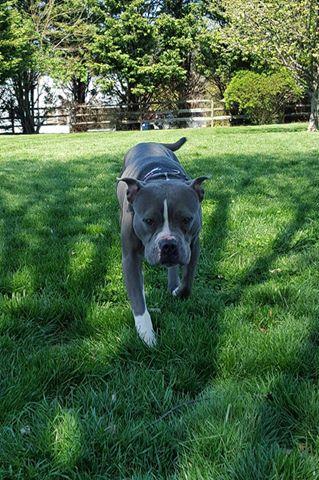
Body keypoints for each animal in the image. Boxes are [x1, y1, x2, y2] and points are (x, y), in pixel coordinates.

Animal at [118, 137, 210, 346]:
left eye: (187, 219)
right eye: (148, 220)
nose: (168, 245)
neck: (162, 178)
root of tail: (148, 141)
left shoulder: (193, 245)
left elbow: (188, 282)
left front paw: (177, 291)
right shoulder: (129, 257)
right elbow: (138, 300)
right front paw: (147, 335)